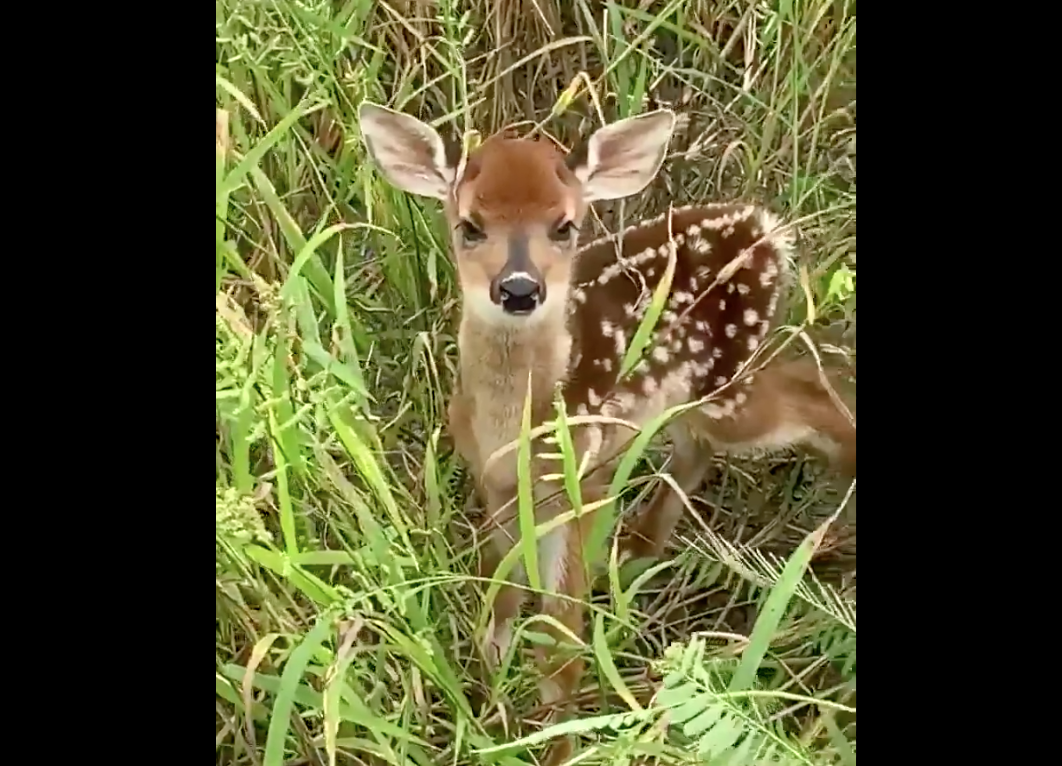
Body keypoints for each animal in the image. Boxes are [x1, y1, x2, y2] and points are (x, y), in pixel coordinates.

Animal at [356, 101, 853, 764]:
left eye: (565, 226)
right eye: (470, 225)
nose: (519, 289)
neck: (513, 426)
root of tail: (766, 225)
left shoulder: (583, 482)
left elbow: (559, 645)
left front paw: (556, 741)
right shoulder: (496, 482)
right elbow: (499, 602)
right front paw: (490, 698)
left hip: (729, 390)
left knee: (815, 389)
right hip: (695, 397)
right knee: (707, 440)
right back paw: (638, 549)